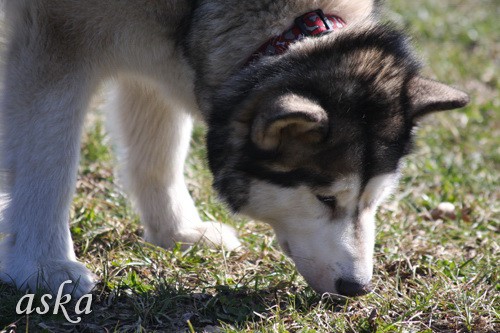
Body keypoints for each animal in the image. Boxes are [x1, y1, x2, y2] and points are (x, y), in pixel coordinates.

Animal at [0, 0, 468, 296]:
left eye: (375, 201)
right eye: (325, 198)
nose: (358, 288)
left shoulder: (159, 54)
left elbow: (158, 156)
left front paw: (178, 232)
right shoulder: (56, 35)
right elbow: (49, 162)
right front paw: (41, 264)